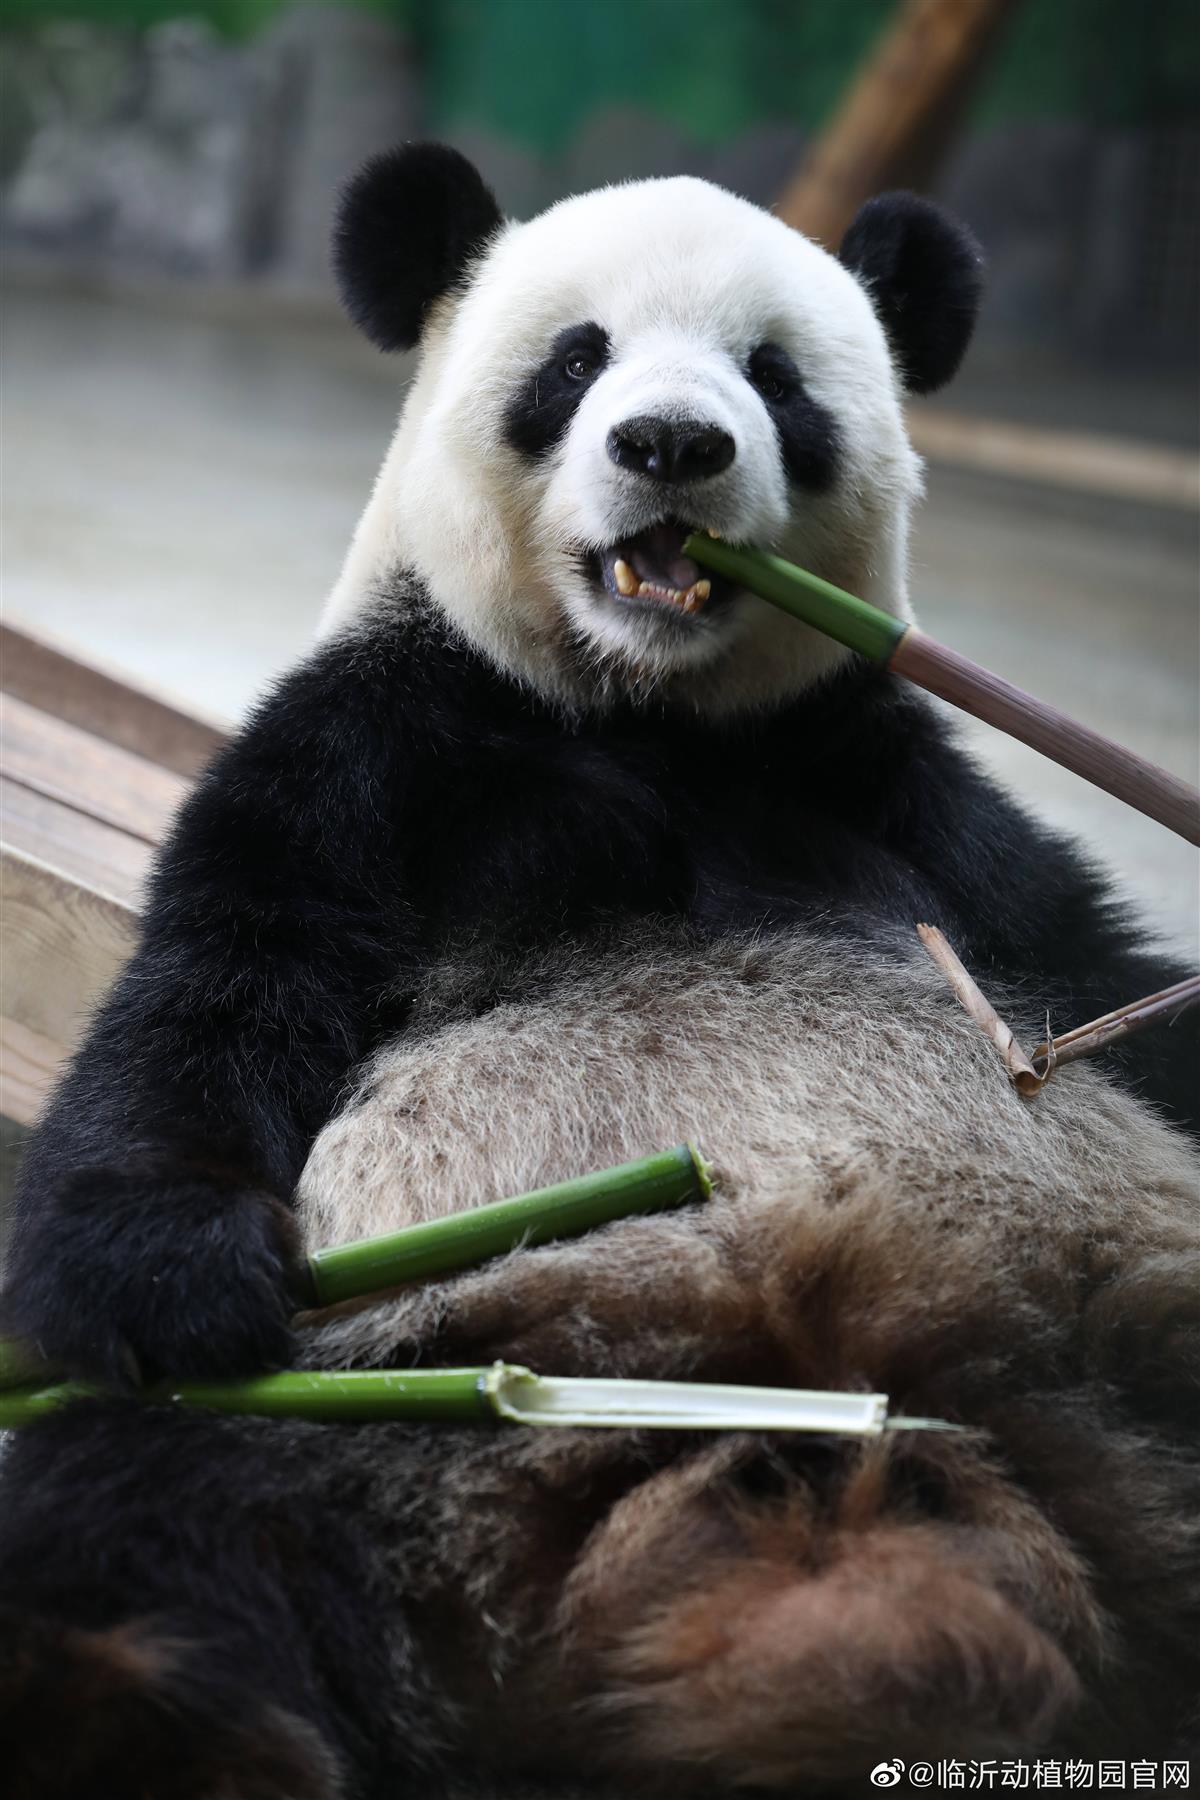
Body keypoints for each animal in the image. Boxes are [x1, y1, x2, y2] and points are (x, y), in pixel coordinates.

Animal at [2, 147, 1200, 1792]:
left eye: (777, 378)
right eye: (577, 362)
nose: (675, 442)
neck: (643, 709)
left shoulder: (901, 792)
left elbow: (1099, 963)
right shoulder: (380, 736)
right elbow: (222, 987)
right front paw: (166, 1279)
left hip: (1126, 1366)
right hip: (393, 1389)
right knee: (140, 1535)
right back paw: (124, 1700)